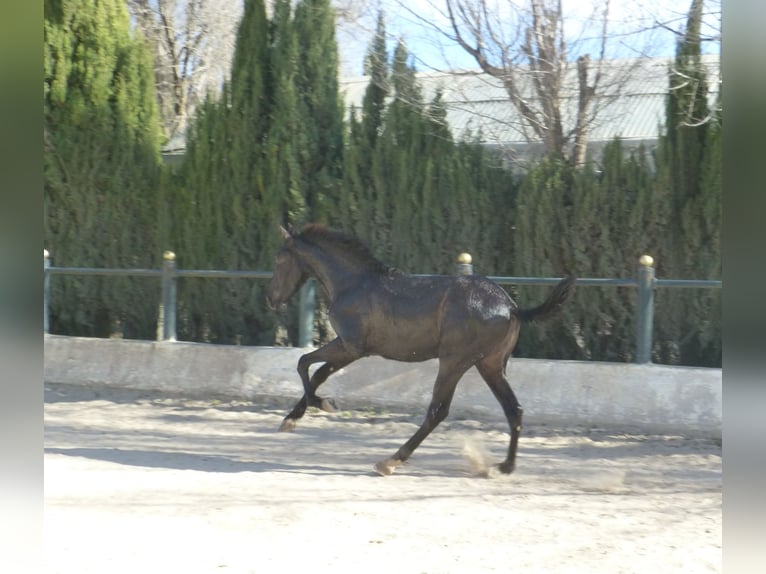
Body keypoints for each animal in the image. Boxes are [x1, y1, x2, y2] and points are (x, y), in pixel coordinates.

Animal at [268, 225, 572, 476]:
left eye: (280, 260)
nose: (272, 300)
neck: (353, 283)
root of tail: (510, 307)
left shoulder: (351, 346)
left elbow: (304, 363)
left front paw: (324, 405)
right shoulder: (349, 347)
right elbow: (316, 372)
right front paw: (292, 418)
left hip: (454, 361)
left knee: (438, 411)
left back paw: (390, 461)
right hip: (490, 364)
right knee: (513, 409)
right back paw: (504, 466)